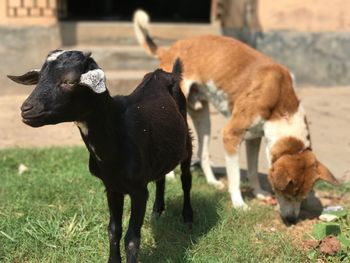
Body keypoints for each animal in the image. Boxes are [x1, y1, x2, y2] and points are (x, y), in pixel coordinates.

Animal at [7, 50, 194, 263]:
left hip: (187, 140)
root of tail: (164, 73)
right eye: (39, 78)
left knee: (186, 178)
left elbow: (132, 238)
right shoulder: (111, 187)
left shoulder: (139, 190)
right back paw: (157, 210)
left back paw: (188, 217)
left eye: (71, 81)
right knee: (161, 176)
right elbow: (114, 230)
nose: (26, 109)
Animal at [133, 10, 338, 223]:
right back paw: (171, 175)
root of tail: (169, 49)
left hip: (203, 118)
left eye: (302, 198)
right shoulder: (231, 135)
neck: (280, 101)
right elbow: (235, 177)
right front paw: (239, 203)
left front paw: (259, 193)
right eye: (287, 193)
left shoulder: (255, 138)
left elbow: (254, 170)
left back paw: (212, 181)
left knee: (203, 153)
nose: (291, 220)